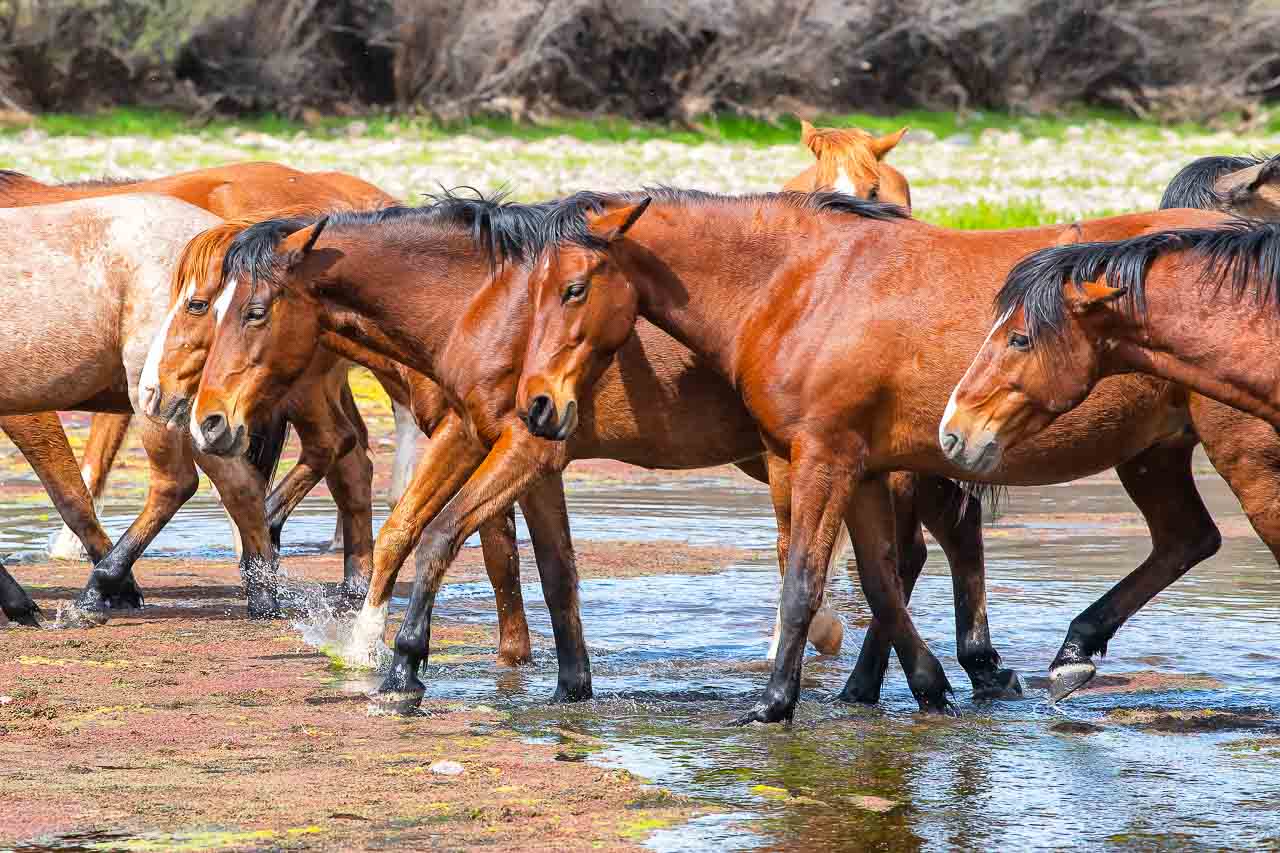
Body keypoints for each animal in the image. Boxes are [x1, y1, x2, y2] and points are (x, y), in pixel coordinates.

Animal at [172, 197, 1029, 712]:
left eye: (252, 311)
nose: (209, 419)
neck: (484, 301)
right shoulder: (517, 446)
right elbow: (532, 566)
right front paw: (568, 681)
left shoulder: (511, 442)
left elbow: (440, 536)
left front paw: (400, 659)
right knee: (919, 553)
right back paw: (928, 674)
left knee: (924, 549)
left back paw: (929, 671)